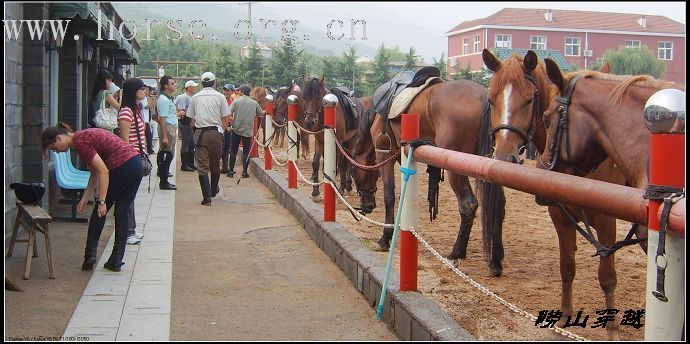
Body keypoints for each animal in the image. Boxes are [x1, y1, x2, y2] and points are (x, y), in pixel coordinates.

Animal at [360, 80, 506, 276]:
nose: (366, 207)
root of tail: (483, 96)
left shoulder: (385, 154)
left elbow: (389, 195)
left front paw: (385, 238)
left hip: (457, 169)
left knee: (468, 204)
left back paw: (455, 254)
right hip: (489, 165)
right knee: (498, 205)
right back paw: (495, 261)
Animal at [478, 47, 644, 338]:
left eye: (529, 100)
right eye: (491, 99)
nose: (504, 157)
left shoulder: (606, 221)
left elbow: (607, 278)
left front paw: (612, 331)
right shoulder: (561, 217)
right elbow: (567, 267)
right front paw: (563, 319)